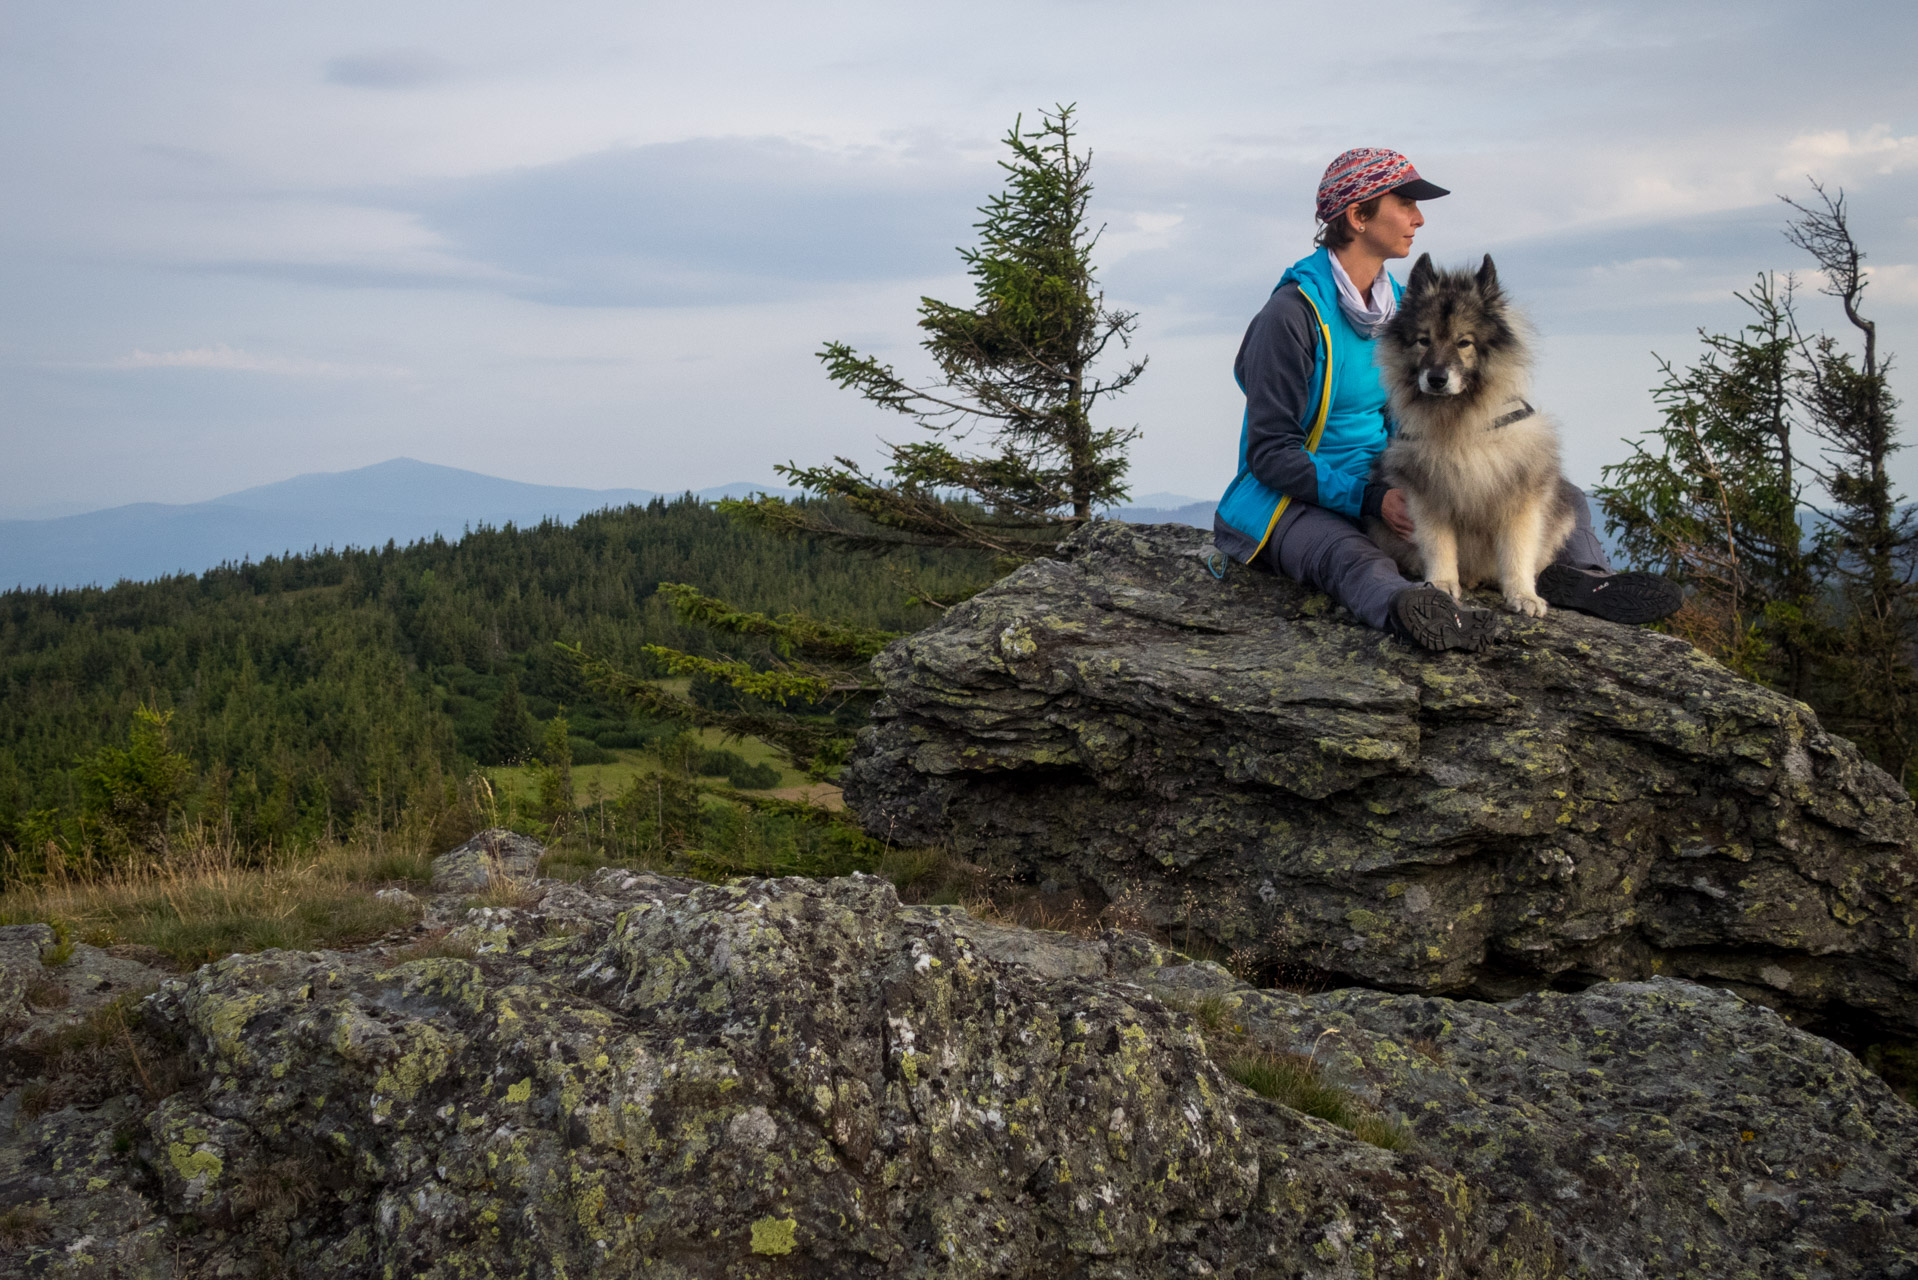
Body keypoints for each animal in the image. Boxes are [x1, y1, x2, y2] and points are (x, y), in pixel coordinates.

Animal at [1365, 255, 1572, 614]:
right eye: (1424, 340)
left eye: (1464, 342)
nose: (1436, 379)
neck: (1459, 426)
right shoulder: (1426, 494)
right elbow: (1438, 544)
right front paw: (1442, 583)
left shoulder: (1519, 497)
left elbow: (1517, 551)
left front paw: (1523, 595)